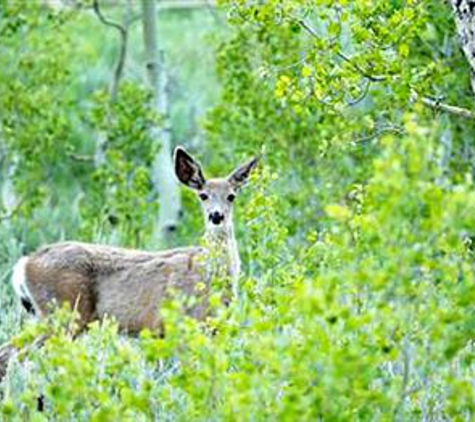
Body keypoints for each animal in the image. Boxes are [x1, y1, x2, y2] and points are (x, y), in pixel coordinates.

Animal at [0, 148, 258, 380]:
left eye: (231, 196)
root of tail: (24, 264)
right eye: (203, 195)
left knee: (9, 353)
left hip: (46, 316)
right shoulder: (185, 322)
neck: (211, 273)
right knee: (19, 358)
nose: (216, 216)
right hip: (62, 313)